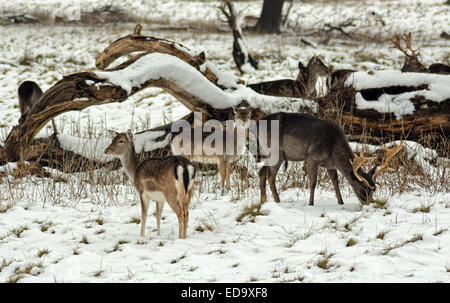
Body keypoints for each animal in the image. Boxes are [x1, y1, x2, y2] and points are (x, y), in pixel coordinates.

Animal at [258, 113, 402, 207]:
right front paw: (311, 204)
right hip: (276, 152)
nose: (369, 203)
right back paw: (277, 201)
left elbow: (335, 182)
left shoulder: (330, 165)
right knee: (270, 176)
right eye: (364, 188)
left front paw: (341, 202)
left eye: (374, 189)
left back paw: (263, 201)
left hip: (270, 154)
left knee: (261, 172)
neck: (333, 151)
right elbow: (313, 183)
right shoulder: (311, 157)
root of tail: (257, 125)